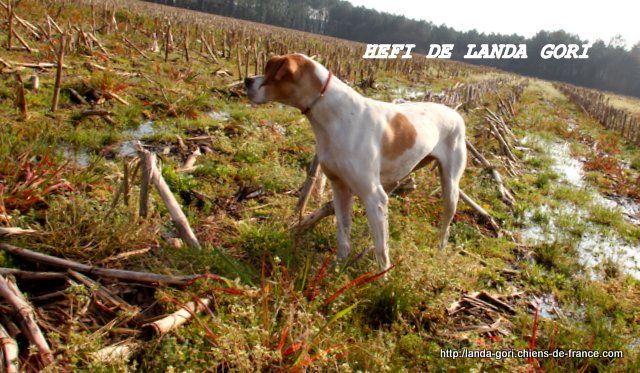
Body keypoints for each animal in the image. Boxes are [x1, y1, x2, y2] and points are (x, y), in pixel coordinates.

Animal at [244, 53, 464, 270]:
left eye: (272, 70)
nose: (246, 80)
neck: (335, 115)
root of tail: (456, 113)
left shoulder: (373, 195)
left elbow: (381, 252)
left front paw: (380, 277)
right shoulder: (340, 188)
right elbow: (343, 235)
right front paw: (338, 269)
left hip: (449, 189)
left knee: (444, 226)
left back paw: (440, 250)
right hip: (392, 182)